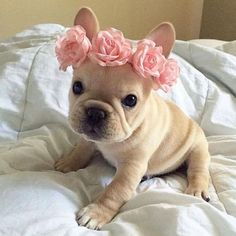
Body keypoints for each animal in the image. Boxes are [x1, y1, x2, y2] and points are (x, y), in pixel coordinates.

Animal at [54, 7, 210, 230]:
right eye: (77, 87)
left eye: (131, 100)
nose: (95, 112)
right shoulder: (87, 139)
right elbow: (81, 149)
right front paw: (69, 162)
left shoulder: (132, 167)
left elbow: (115, 190)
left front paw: (96, 213)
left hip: (198, 149)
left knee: (198, 170)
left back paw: (197, 189)